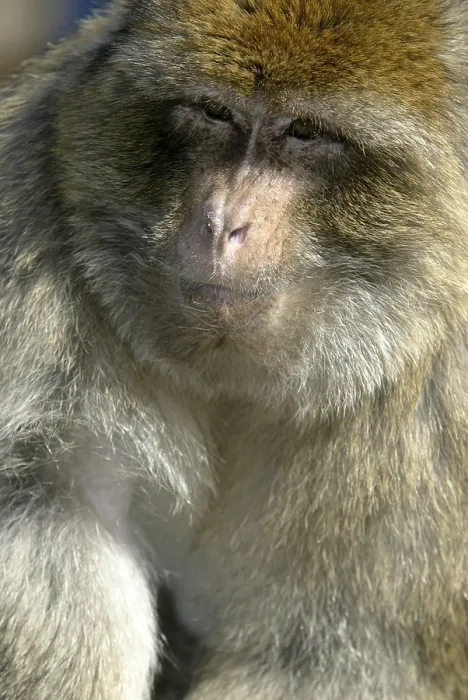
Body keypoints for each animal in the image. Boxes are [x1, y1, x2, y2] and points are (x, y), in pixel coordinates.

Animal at [0, 0, 468, 698]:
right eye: (215, 113)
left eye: (305, 132)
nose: (223, 224)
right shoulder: (34, 224)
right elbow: (52, 508)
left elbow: (330, 654)